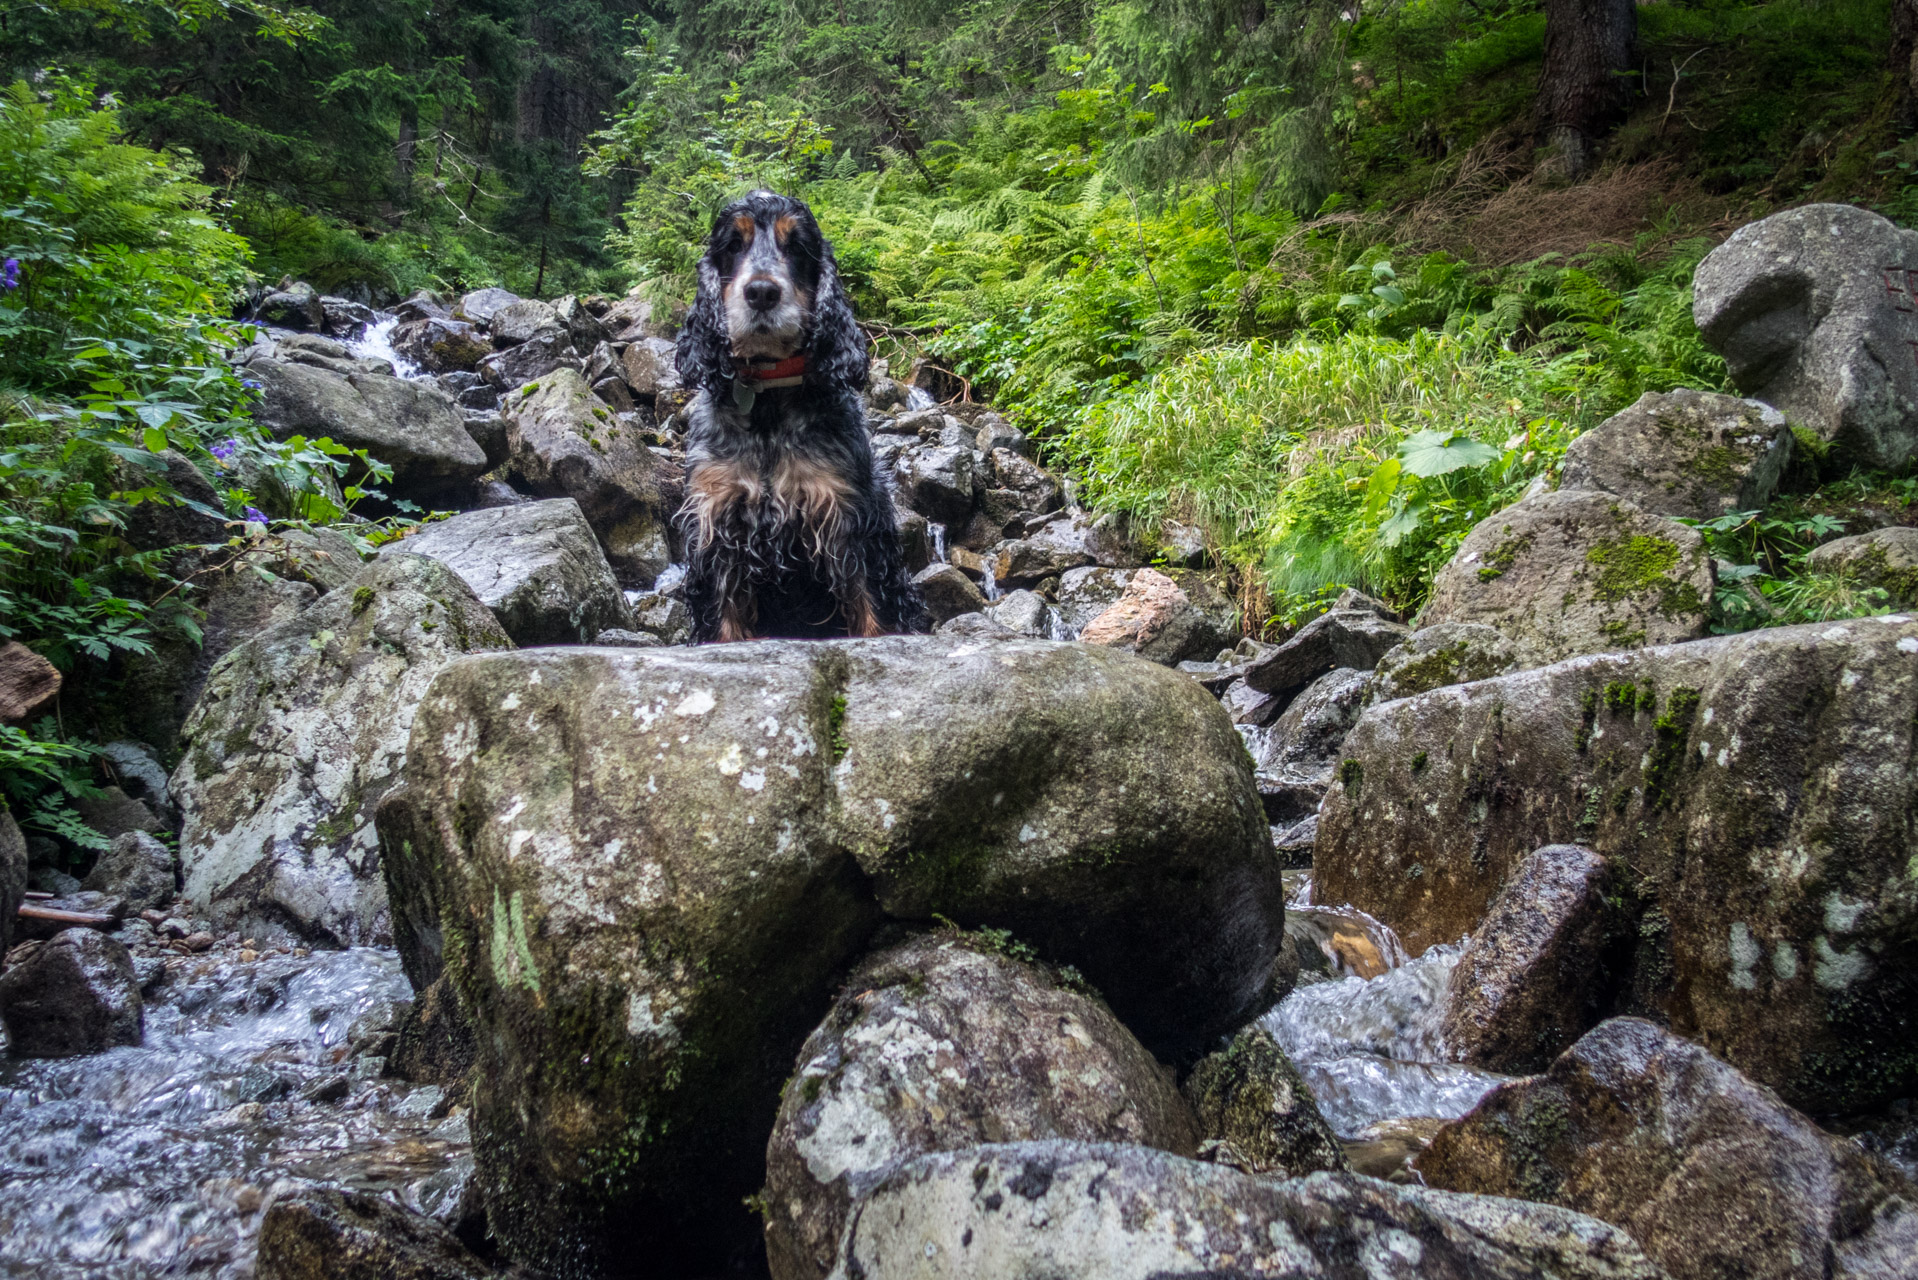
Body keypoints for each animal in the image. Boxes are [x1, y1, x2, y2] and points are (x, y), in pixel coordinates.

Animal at [675, 189, 928, 640]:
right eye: (733, 245)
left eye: (796, 247)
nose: (761, 292)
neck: (768, 399)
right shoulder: (716, 521)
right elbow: (724, 621)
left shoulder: (848, 520)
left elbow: (871, 612)